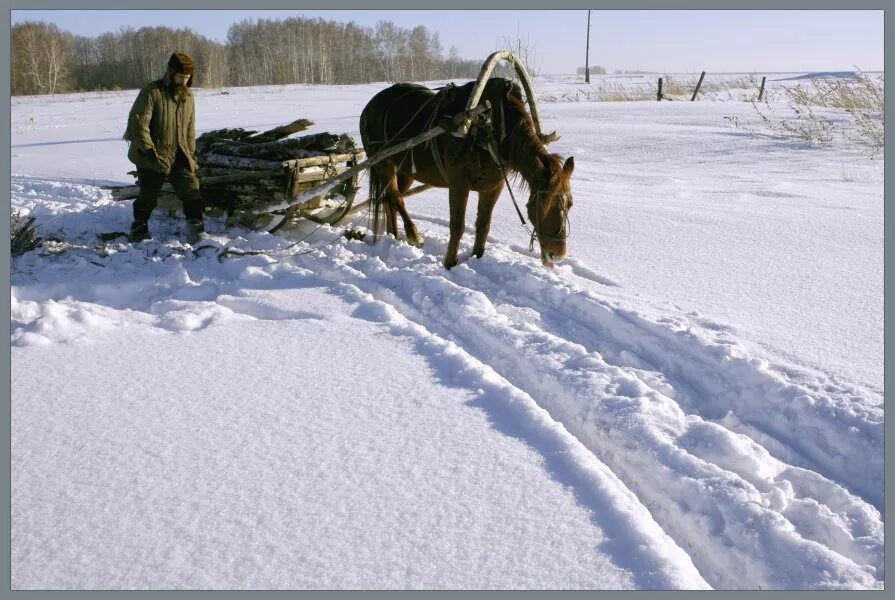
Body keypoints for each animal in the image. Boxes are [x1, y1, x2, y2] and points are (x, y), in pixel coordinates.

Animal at [356, 77, 576, 268]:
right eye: (543, 202)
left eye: (570, 204)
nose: (557, 255)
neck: (493, 129)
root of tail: (368, 107)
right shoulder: (458, 183)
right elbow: (457, 226)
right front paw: (450, 263)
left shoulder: (493, 187)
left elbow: (484, 225)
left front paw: (477, 256)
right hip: (383, 162)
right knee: (396, 198)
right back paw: (413, 235)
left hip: (405, 170)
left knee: (390, 200)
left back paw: (393, 235)